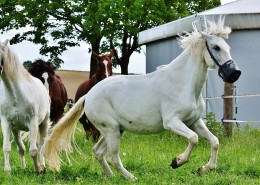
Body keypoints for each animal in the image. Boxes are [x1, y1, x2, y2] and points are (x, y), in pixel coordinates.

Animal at [0, 39, 50, 174]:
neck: (16, 96)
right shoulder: (6, 123)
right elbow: (6, 147)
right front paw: (8, 171)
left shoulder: (33, 123)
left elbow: (33, 150)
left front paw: (38, 170)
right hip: (16, 130)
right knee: (21, 148)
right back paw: (23, 167)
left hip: (43, 124)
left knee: (41, 146)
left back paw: (43, 166)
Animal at [42, 18, 240, 180]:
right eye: (216, 47)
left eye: (228, 48)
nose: (234, 73)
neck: (183, 83)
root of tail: (89, 95)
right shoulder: (172, 122)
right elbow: (193, 139)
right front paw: (177, 161)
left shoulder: (194, 121)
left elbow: (214, 141)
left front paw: (204, 169)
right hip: (111, 129)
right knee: (113, 157)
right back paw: (131, 178)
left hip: (115, 130)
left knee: (98, 152)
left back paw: (111, 176)